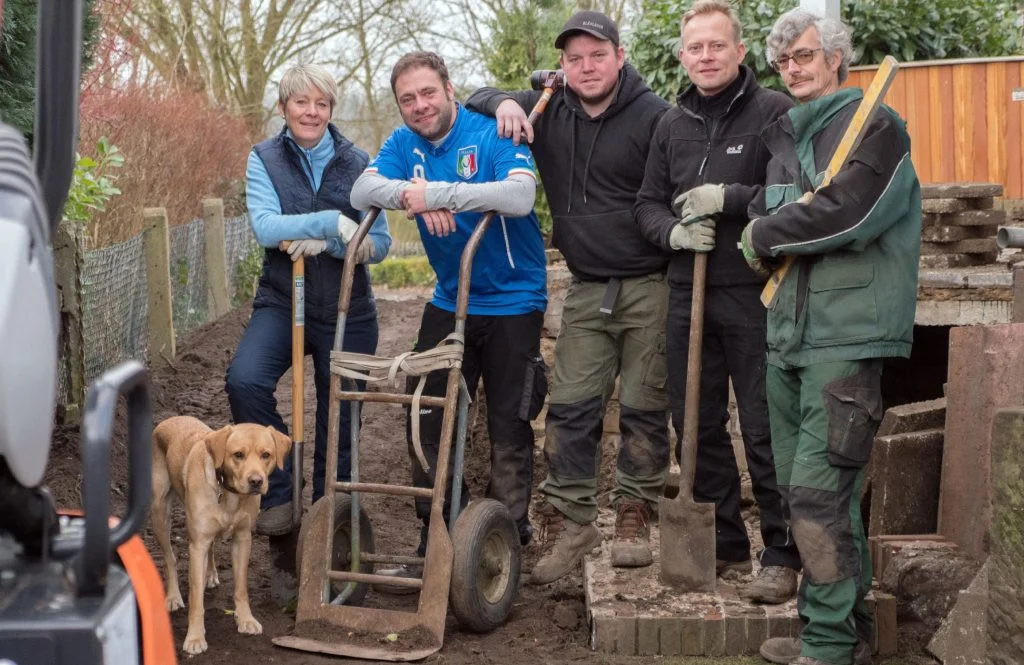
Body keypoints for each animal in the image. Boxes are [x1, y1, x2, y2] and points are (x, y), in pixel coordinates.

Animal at [149, 413, 292, 651]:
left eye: (266, 455)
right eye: (238, 455)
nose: (256, 481)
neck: (228, 492)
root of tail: (172, 418)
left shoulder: (243, 539)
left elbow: (241, 588)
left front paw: (245, 619)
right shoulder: (197, 545)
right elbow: (196, 600)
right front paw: (195, 637)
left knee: (212, 547)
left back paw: (211, 573)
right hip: (160, 513)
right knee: (170, 557)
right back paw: (173, 596)